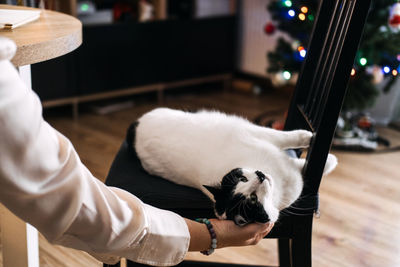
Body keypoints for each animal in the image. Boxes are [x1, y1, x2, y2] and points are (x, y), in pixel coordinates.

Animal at [129, 108, 338, 226]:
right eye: (252, 200)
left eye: (242, 178)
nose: (260, 176)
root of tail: (135, 128)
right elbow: (298, 163)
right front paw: (328, 160)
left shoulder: (254, 133)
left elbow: (284, 138)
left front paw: (310, 140)